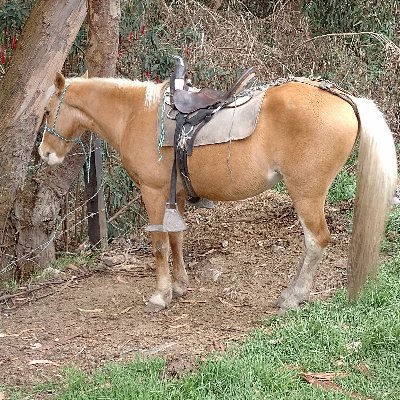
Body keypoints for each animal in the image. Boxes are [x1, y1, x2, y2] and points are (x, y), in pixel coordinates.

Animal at [38, 72, 396, 316]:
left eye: (47, 111)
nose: (44, 153)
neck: (136, 116)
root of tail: (345, 99)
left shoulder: (153, 193)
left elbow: (159, 245)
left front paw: (160, 295)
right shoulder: (176, 195)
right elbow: (176, 240)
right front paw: (180, 286)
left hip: (306, 194)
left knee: (316, 241)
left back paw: (294, 296)